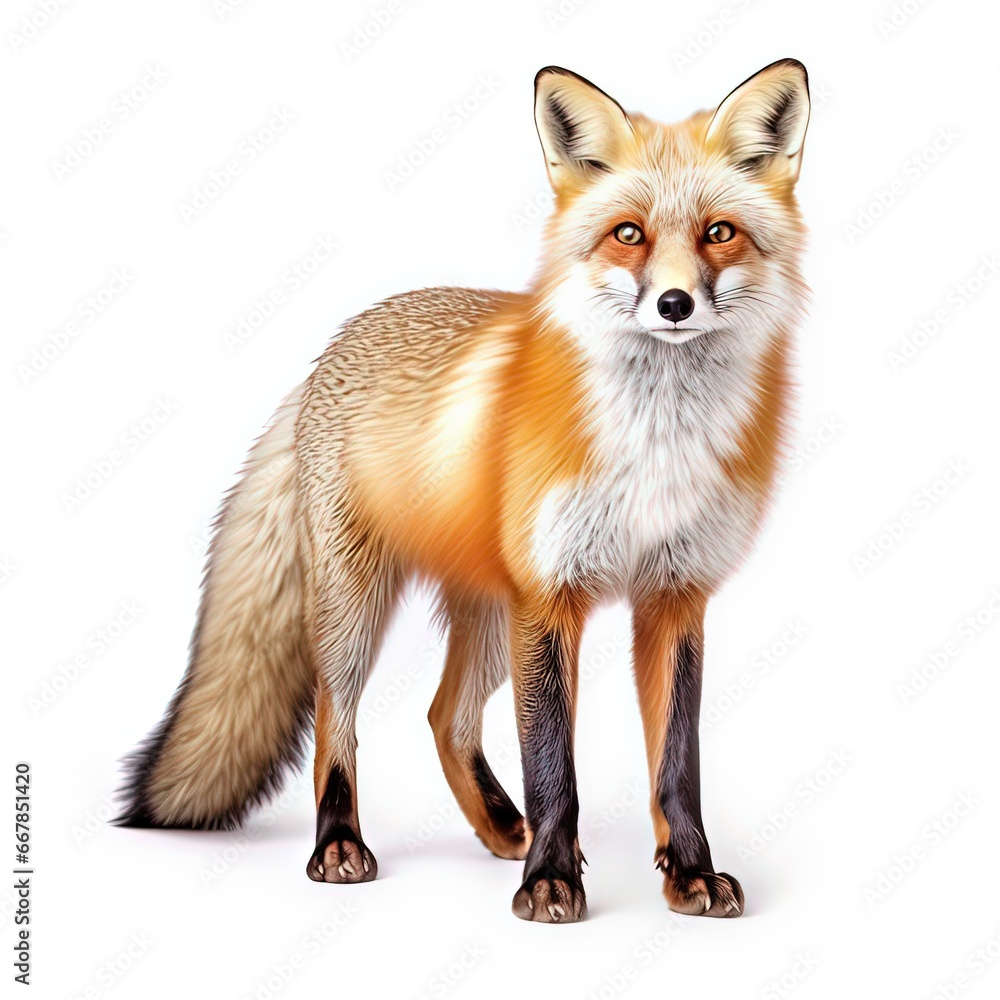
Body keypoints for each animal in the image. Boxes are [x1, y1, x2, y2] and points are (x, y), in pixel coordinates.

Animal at [116, 59, 810, 923]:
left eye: (720, 232)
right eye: (628, 235)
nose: (675, 304)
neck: (654, 448)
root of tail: (331, 349)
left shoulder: (675, 596)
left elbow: (677, 766)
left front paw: (687, 872)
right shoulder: (552, 598)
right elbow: (553, 765)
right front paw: (550, 881)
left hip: (488, 617)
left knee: (444, 715)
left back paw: (502, 826)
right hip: (358, 608)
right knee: (335, 721)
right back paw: (339, 843)